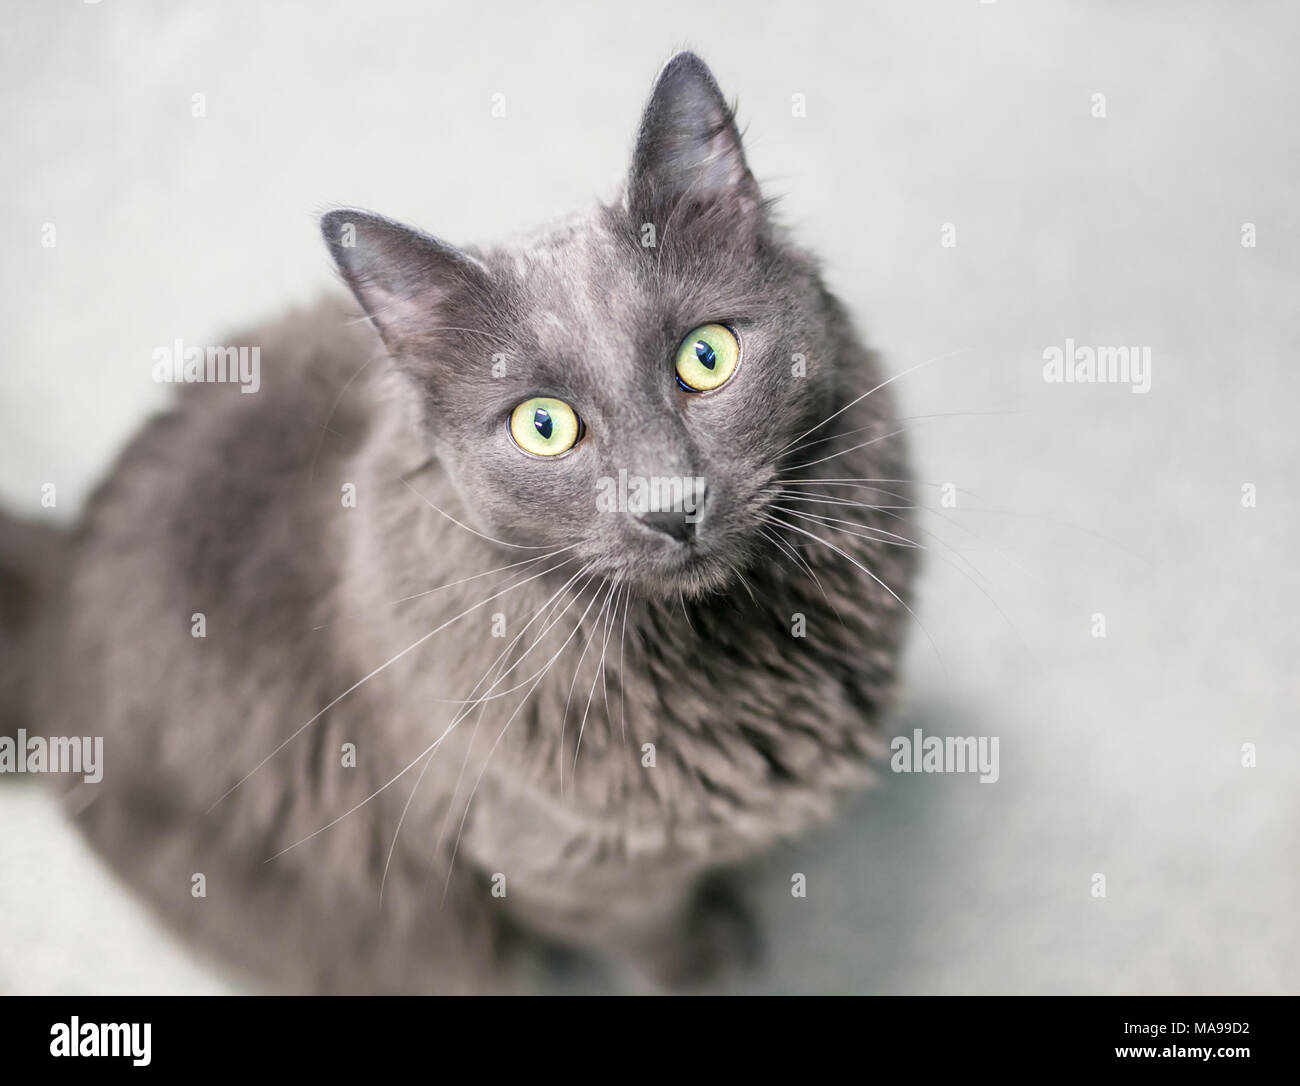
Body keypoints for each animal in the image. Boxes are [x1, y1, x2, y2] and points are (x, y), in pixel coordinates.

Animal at [0, 55, 915, 998]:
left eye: (707, 357)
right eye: (542, 426)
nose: (669, 504)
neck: (726, 649)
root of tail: (61, 584)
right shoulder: (561, 868)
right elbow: (655, 931)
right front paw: (713, 960)